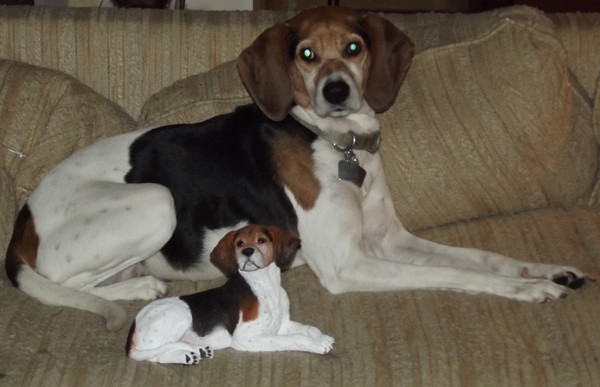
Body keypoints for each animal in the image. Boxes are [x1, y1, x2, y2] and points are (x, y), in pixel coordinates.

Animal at [4, 6, 588, 332]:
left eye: (353, 47)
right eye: (306, 54)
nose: (337, 90)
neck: (336, 143)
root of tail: (23, 219)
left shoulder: (390, 239)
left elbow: (481, 256)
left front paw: (547, 270)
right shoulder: (350, 264)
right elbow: (454, 273)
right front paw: (529, 291)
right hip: (156, 201)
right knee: (59, 282)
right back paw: (140, 290)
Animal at [125, 224, 336, 364]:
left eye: (262, 240)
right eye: (239, 243)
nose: (247, 251)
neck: (264, 285)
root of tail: (134, 326)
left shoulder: (280, 326)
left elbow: (308, 328)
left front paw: (322, 337)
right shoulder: (246, 337)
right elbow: (294, 339)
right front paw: (316, 345)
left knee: (158, 356)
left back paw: (191, 354)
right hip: (180, 314)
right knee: (149, 353)